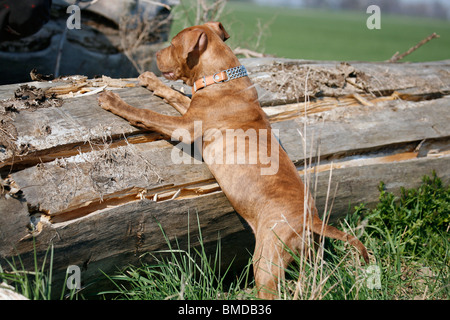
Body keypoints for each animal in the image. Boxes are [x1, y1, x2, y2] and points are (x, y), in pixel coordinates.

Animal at [98, 21, 370, 298]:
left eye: (173, 45)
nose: (155, 55)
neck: (220, 77)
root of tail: (311, 220)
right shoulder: (190, 110)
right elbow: (175, 94)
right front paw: (150, 81)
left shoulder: (185, 127)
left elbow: (146, 113)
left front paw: (113, 101)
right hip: (306, 257)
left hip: (267, 260)